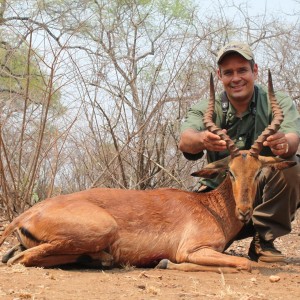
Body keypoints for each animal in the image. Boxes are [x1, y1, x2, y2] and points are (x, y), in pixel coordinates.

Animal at [0, 71, 296, 274]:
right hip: (100, 230)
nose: (245, 211)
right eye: (231, 173)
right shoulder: (192, 250)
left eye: (258, 173)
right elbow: (241, 264)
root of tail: (26, 215)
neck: (211, 207)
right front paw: (165, 263)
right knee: (20, 259)